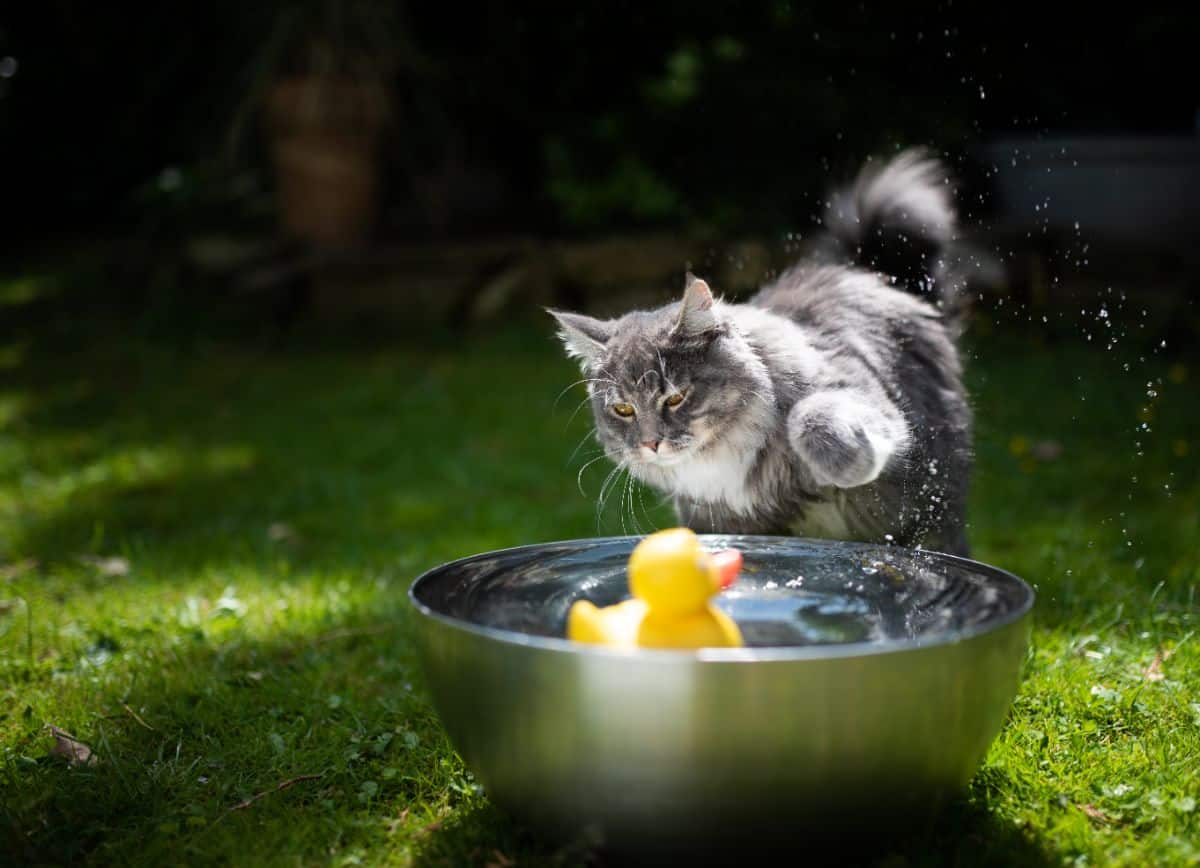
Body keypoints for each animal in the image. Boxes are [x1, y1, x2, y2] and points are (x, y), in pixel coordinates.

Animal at [552, 147, 974, 557]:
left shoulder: (865, 397)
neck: (720, 460)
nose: (651, 443)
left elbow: (812, 416)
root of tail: (870, 275)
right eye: (624, 410)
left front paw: (848, 465)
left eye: (675, 398)